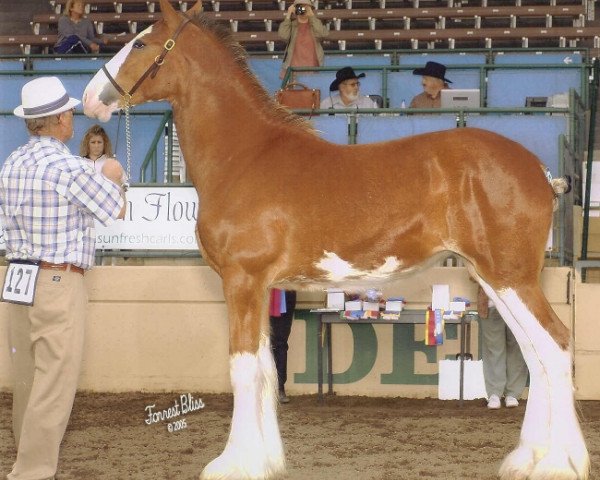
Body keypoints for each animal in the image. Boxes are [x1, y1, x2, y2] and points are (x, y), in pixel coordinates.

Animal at [81, 1, 592, 478]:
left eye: (142, 43)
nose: (90, 97)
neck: (244, 156)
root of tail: (539, 171)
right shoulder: (263, 288)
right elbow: (266, 368)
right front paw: (266, 461)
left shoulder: (241, 281)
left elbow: (242, 369)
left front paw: (233, 463)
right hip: (496, 278)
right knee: (536, 354)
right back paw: (527, 458)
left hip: (510, 277)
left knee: (555, 345)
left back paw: (560, 462)